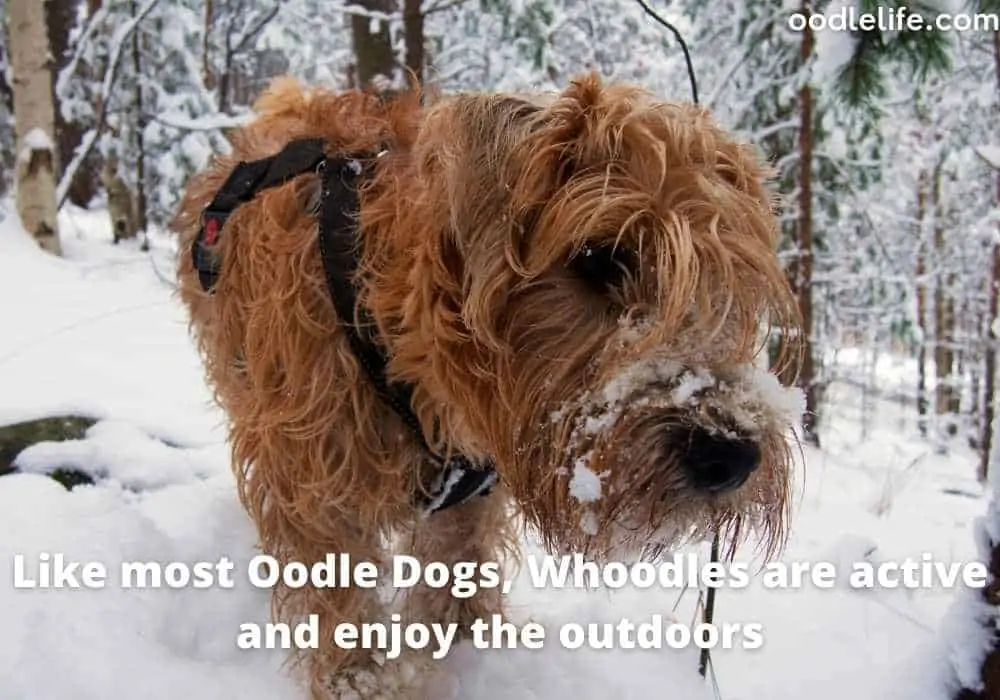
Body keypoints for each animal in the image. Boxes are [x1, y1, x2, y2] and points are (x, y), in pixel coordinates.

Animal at [170, 72, 796, 700]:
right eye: (599, 259)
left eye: (725, 283)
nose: (730, 454)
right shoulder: (317, 487)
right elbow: (340, 598)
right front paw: (361, 683)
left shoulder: (471, 496)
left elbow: (457, 579)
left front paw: (465, 648)